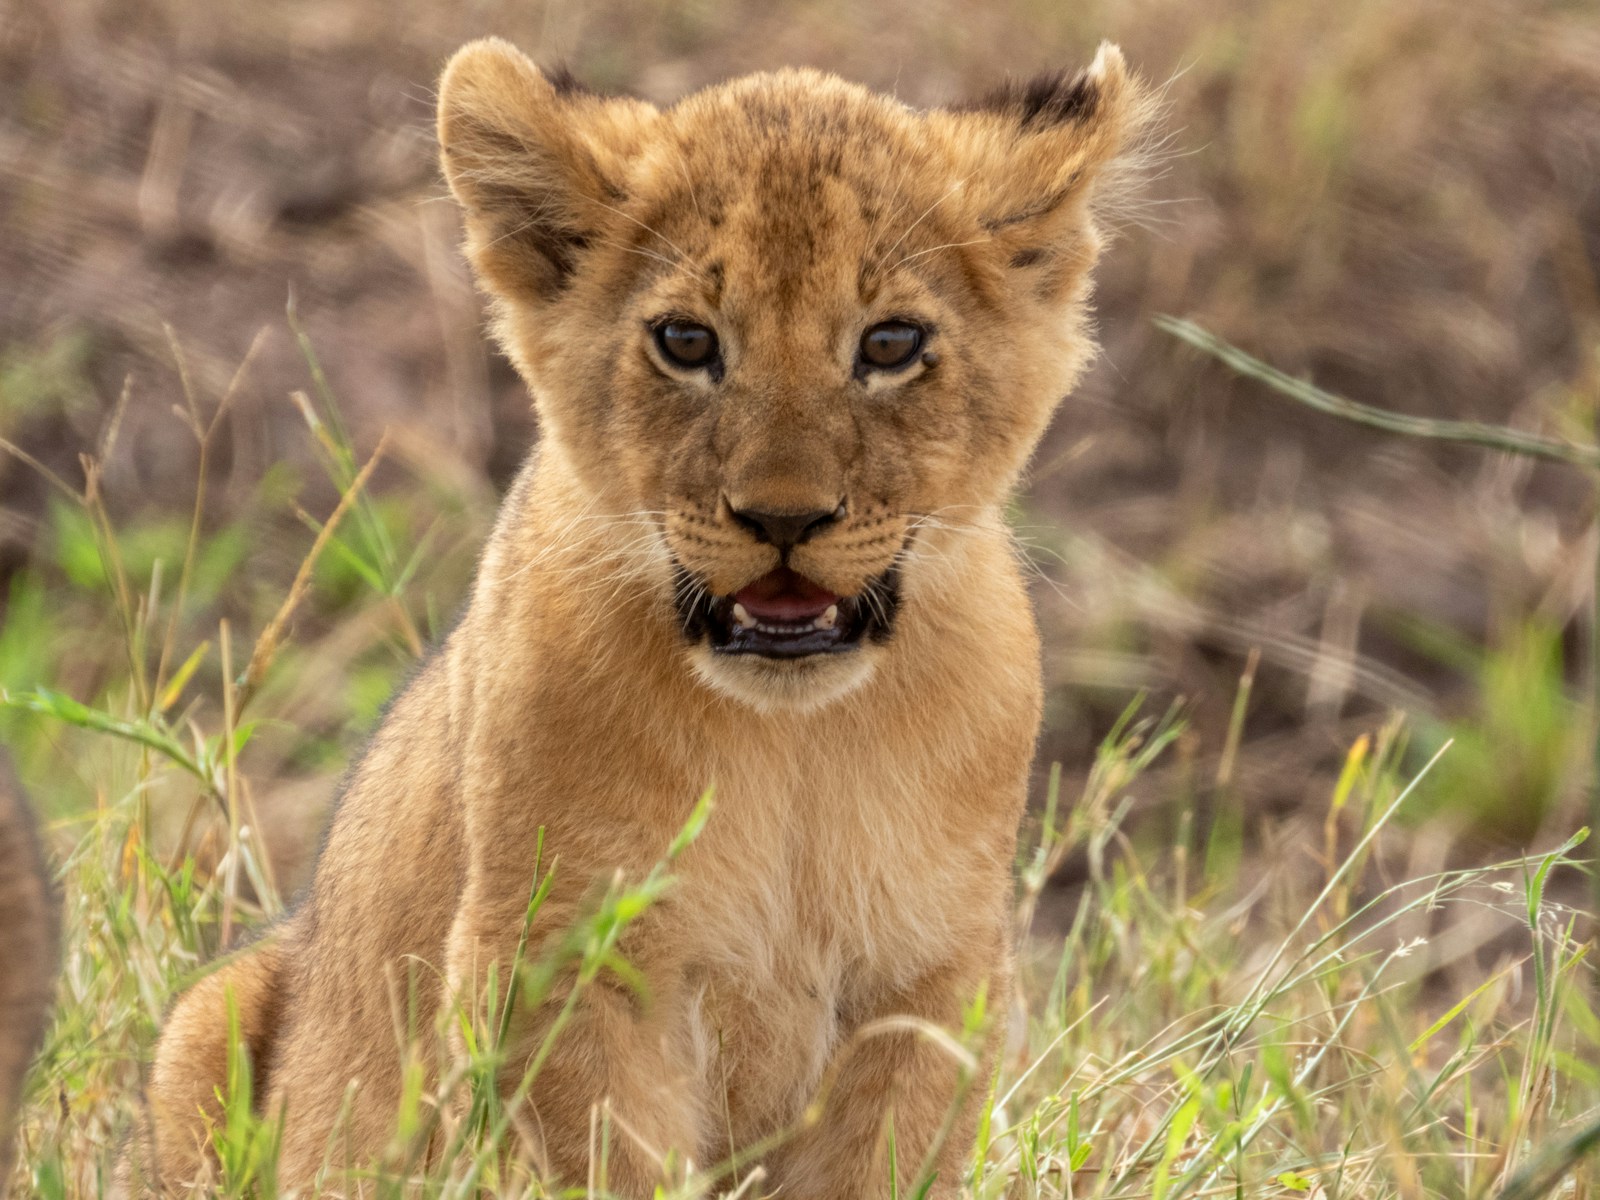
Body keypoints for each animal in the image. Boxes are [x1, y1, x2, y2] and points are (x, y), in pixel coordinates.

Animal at [133, 40, 1149, 1196]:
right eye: (685, 341)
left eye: (891, 343)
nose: (784, 518)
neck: (794, 742)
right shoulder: (558, 959)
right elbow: (608, 1159)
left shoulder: (929, 979)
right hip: (203, 1023)